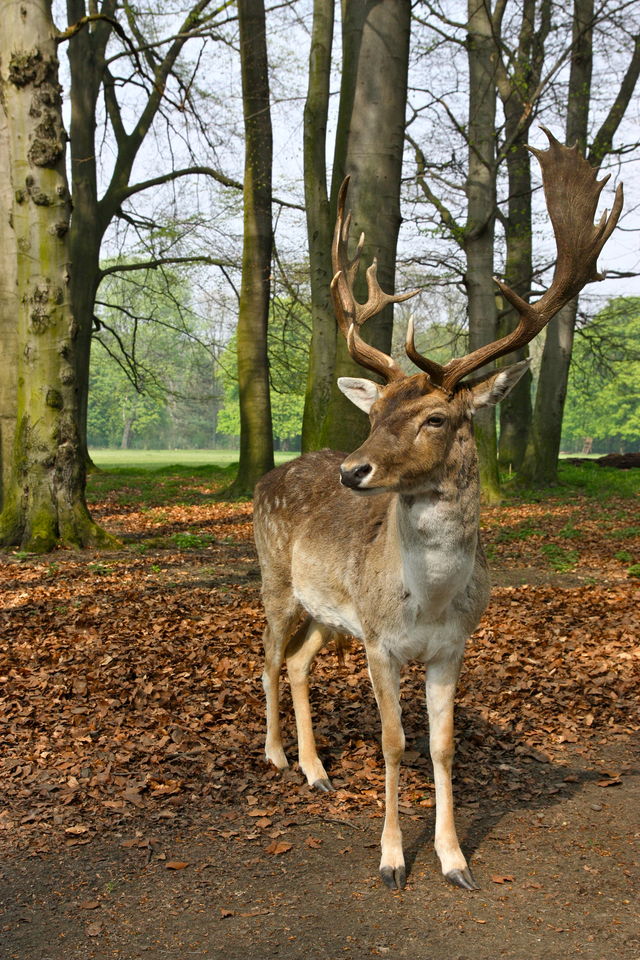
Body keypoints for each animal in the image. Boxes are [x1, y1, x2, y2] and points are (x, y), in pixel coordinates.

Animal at [252, 129, 624, 892]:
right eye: (377, 414)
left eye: (436, 418)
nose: (353, 469)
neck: (427, 600)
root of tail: (265, 480)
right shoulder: (380, 643)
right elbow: (395, 744)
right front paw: (393, 859)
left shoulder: (451, 645)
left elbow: (444, 747)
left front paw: (455, 861)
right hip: (275, 580)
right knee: (266, 658)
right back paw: (275, 756)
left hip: (332, 614)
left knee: (298, 663)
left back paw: (316, 769)